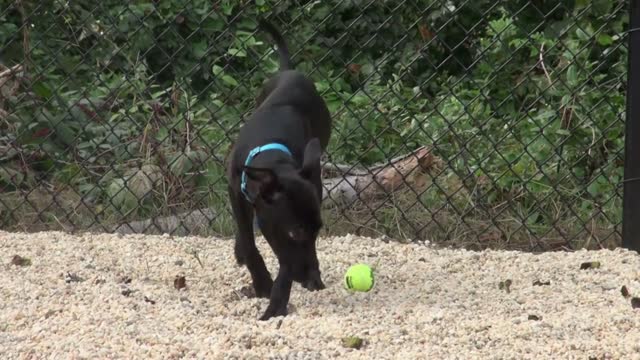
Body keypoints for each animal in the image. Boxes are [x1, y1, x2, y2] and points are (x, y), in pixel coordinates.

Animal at [225, 19, 332, 320]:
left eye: (318, 230)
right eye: (295, 232)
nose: (307, 276)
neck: (273, 155)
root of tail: (289, 71)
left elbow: (284, 264)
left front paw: (276, 304)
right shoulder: (235, 191)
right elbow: (249, 240)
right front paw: (262, 282)